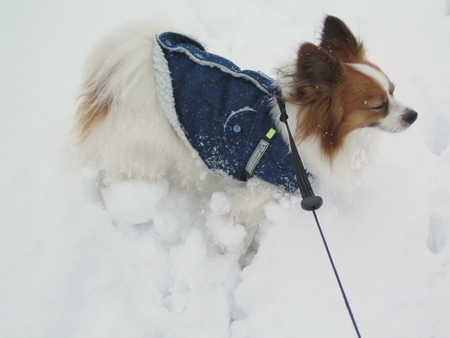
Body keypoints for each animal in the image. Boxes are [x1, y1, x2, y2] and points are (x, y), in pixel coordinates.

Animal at [73, 14, 414, 255]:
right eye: (379, 105)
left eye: (394, 91)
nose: (414, 115)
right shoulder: (260, 191)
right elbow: (241, 228)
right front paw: (237, 259)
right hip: (147, 149)